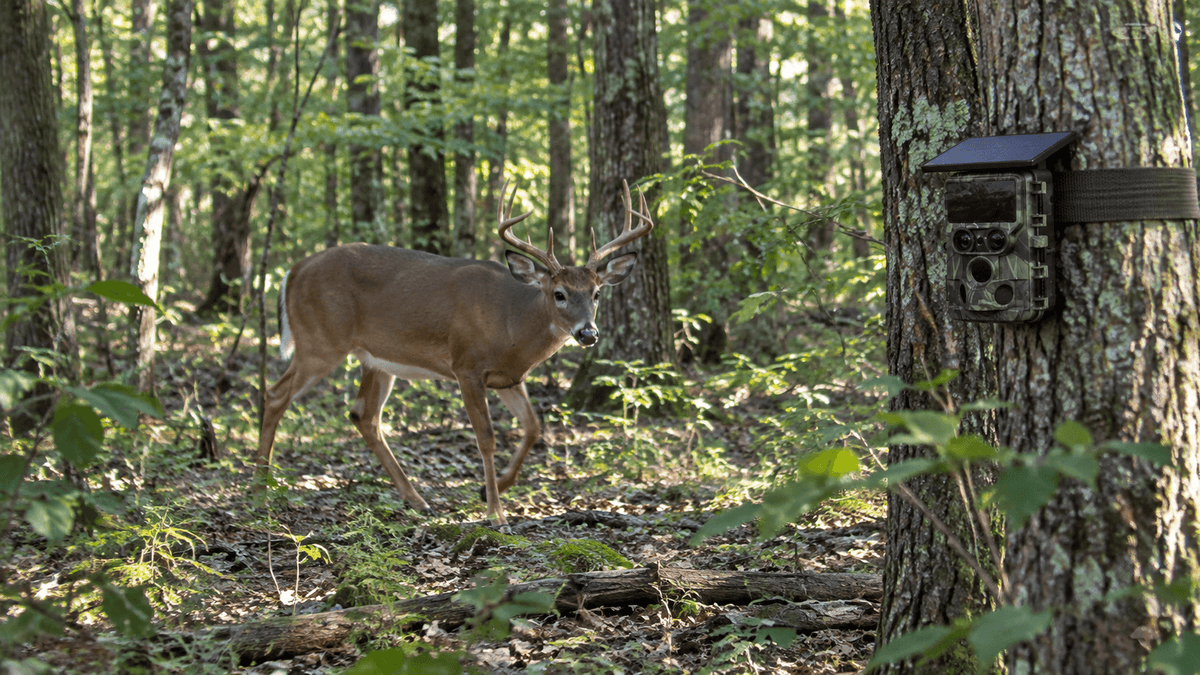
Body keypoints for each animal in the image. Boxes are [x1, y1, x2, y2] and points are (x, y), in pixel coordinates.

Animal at [255, 179, 655, 527]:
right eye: (559, 294)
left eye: (597, 293)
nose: (588, 333)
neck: (512, 323)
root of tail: (293, 270)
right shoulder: (466, 366)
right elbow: (486, 437)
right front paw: (496, 512)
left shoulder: (508, 376)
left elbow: (533, 427)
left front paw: (489, 490)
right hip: (320, 342)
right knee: (275, 394)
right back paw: (261, 486)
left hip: (376, 359)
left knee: (363, 416)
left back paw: (416, 499)